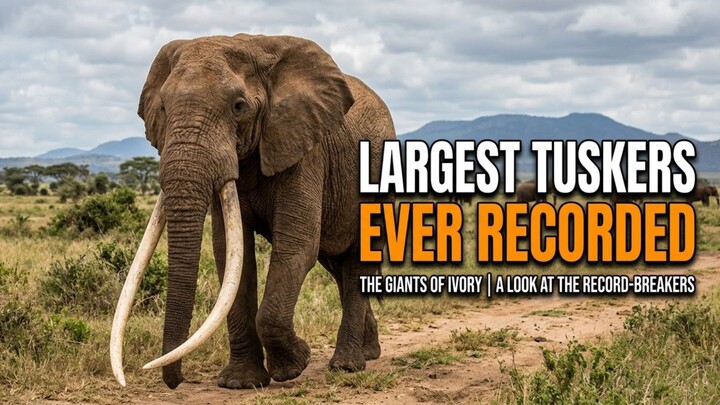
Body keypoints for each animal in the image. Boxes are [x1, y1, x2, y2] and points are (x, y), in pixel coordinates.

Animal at [110, 34, 395, 390]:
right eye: (162, 106)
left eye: (238, 107)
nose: (177, 381)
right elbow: (232, 255)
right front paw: (241, 382)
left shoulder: (304, 150)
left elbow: (297, 246)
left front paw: (294, 365)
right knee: (337, 267)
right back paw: (369, 352)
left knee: (355, 262)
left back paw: (347, 365)